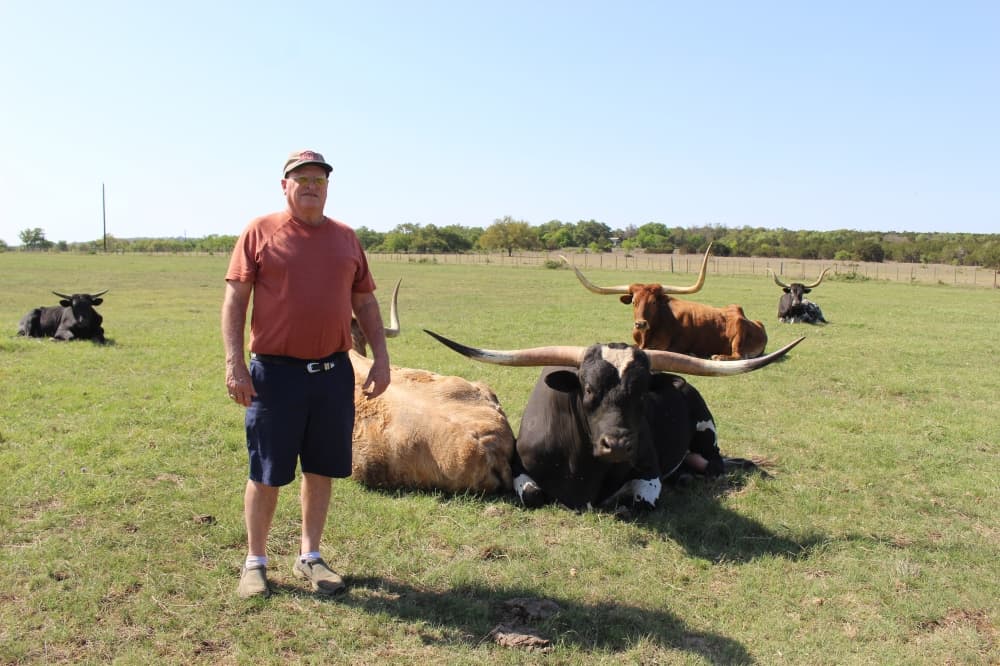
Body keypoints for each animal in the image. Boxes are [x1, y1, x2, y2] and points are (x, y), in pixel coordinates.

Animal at [425, 329, 804, 511]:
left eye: (642, 393)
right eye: (589, 388)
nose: (619, 444)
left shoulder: (649, 471)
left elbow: (636, 502)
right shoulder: (520, 466)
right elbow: (532, 495)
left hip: (707, 436)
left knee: (713, 463)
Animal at [563, 244, 768, 360]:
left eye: (654, 302)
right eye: (634, 301)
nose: (640, 323)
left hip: (738, 334)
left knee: (736, 355)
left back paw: (717, 356)